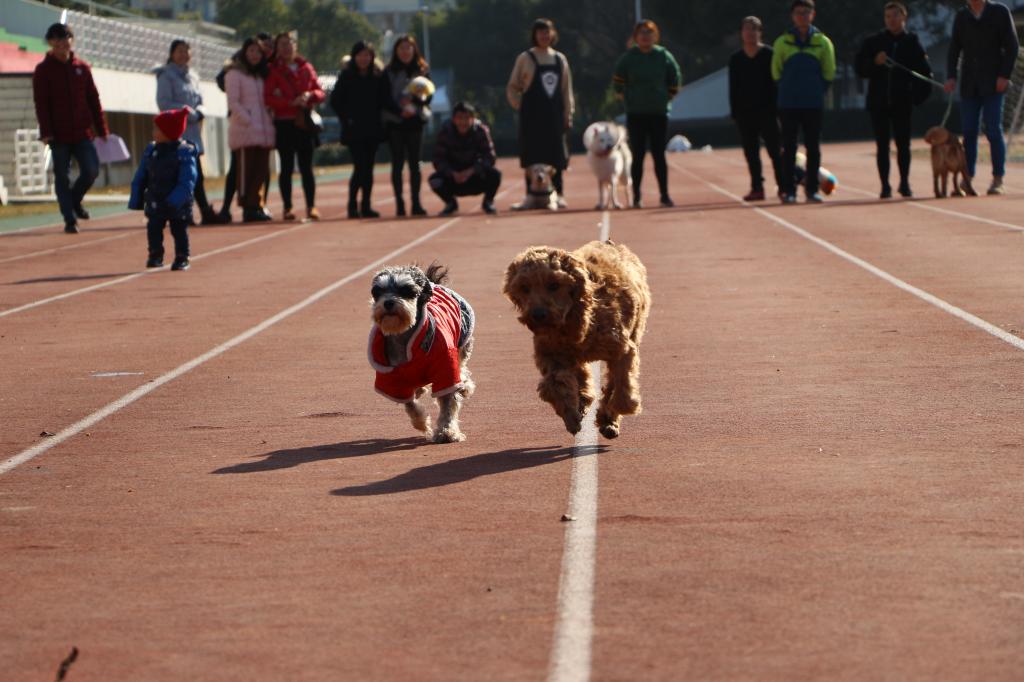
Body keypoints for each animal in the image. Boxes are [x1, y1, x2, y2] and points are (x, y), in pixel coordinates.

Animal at [368, 263, 475, 443]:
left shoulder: (445, 371)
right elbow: (410, 405)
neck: (404, 337)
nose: (388, 302)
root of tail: (434, 283)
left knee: (462, 369)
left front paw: (447, 432)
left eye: (407, 290)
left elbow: (448, 405)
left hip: (462, 342)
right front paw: (422, 424)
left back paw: (465, 386)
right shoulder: (393, 381)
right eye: (377, 291)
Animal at [503, 240, 650, 439]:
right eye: (524, 288)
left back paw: (607, 419)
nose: (538, 315)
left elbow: (622, 390)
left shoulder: (622, 350)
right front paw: (572, 416)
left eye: (554, 285)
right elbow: (556, 386)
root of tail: (609, 243)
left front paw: (611, 415)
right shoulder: (552, 355)